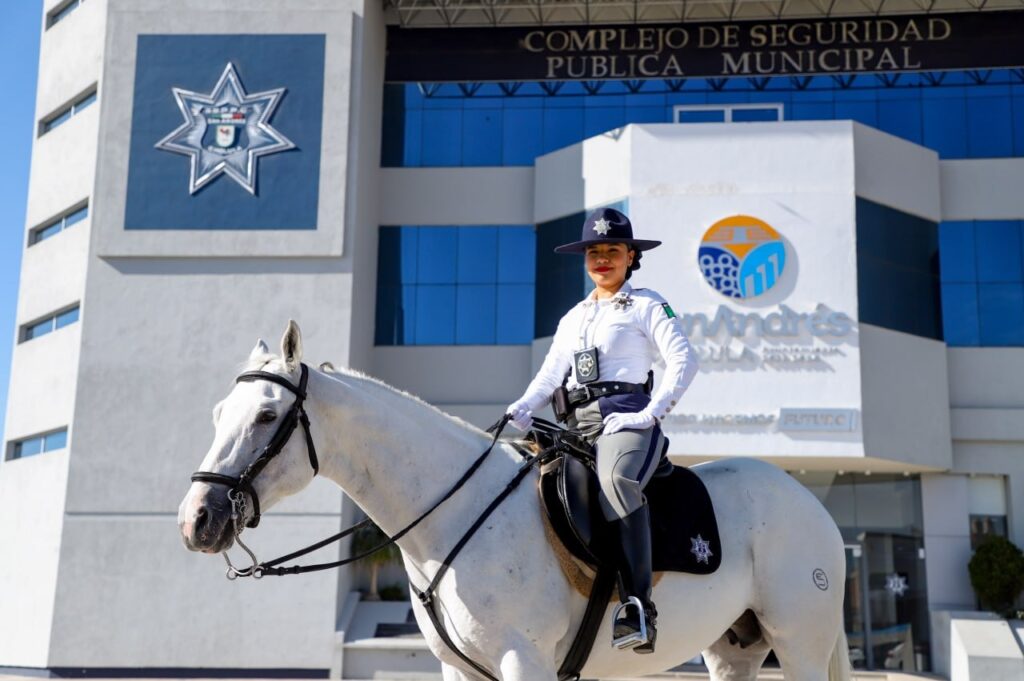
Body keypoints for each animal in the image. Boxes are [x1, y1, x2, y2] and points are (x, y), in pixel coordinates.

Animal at [180, 323, 851, 679]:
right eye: (217, 413)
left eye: (268, 416)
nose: (197, 520)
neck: (453, 516)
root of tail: (809, 502)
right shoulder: (459, 670)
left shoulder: (520, 660)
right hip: (735, 651)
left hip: (799, 644)